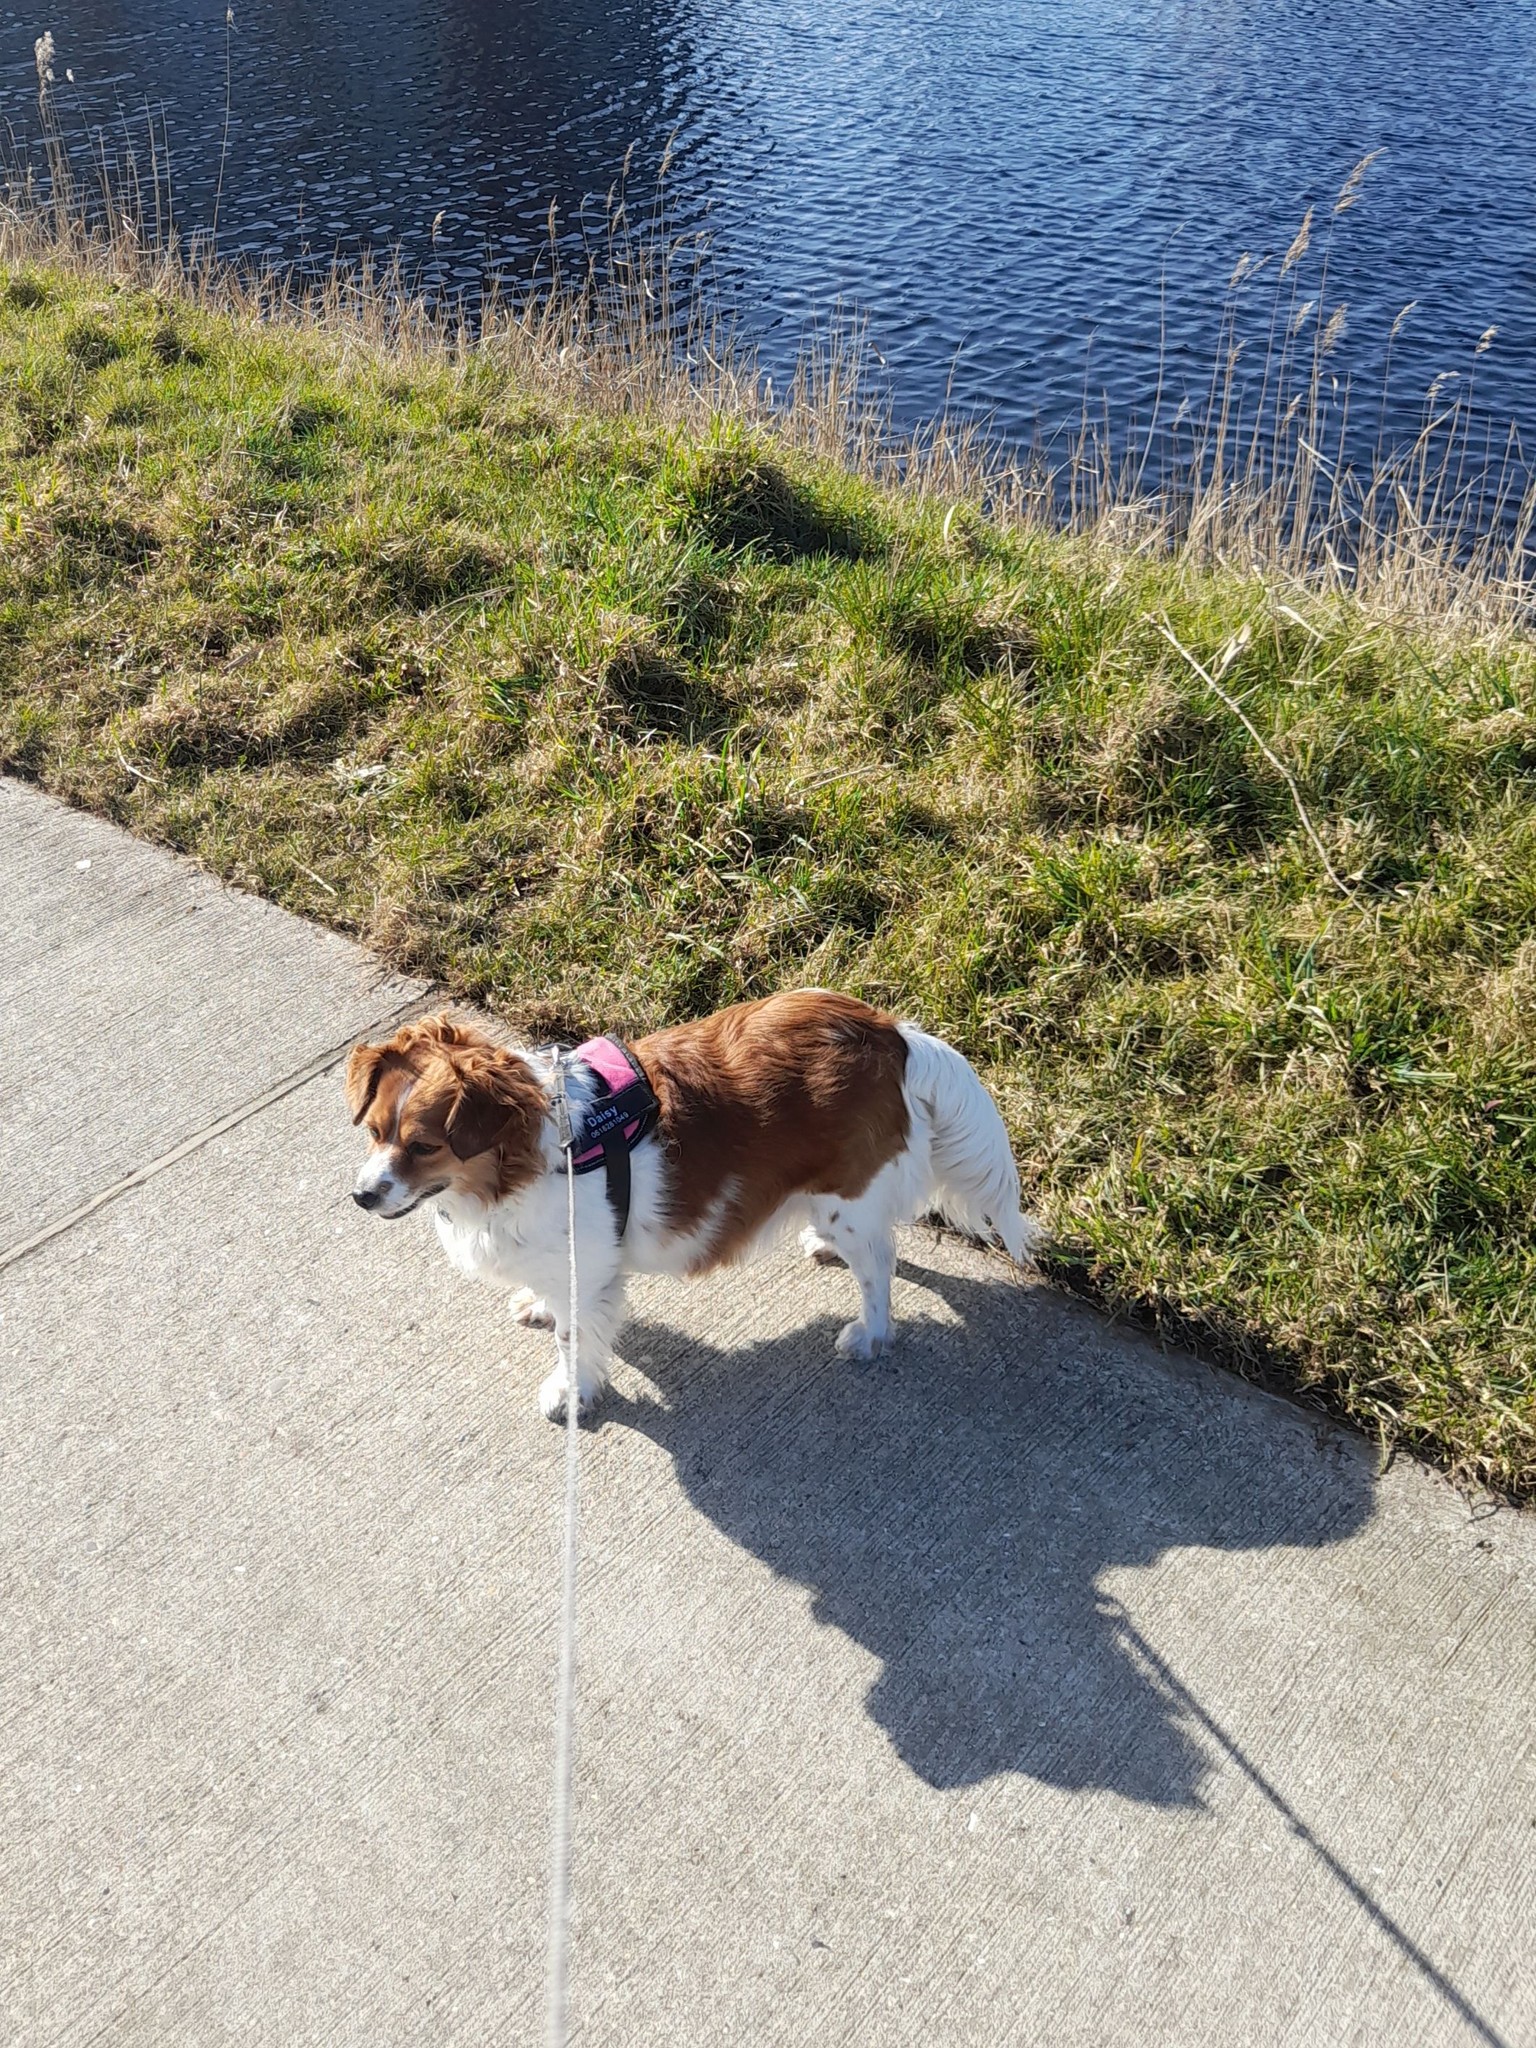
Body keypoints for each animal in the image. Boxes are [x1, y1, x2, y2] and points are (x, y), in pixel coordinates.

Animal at [345, 990, 1040, 1421]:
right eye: (374, 1132)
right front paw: (539, 1307)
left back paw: (869, 1333)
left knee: (880, 1270)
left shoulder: (587, 1275)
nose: (361, 1195)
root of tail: (891, 1033)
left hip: (849, 1199)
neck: (534, 1155)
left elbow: (575, 1341)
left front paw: (571, 1392)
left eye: (424, 1146)